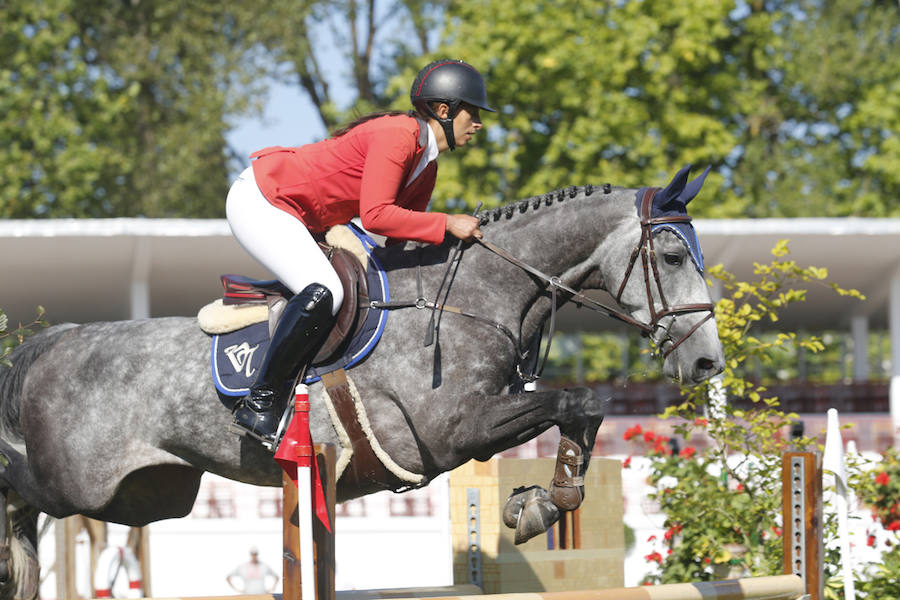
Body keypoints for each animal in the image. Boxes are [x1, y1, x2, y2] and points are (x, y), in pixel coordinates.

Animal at [0, 165, 724, 600]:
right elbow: (574, 398)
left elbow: (581, 407)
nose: (707, 365)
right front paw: (540, 503)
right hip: (76, 481)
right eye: (670, 255)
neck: (475, 293)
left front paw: (544, 501)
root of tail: (50, 342)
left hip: (148, 495)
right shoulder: (451, 429)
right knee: (16, 490)